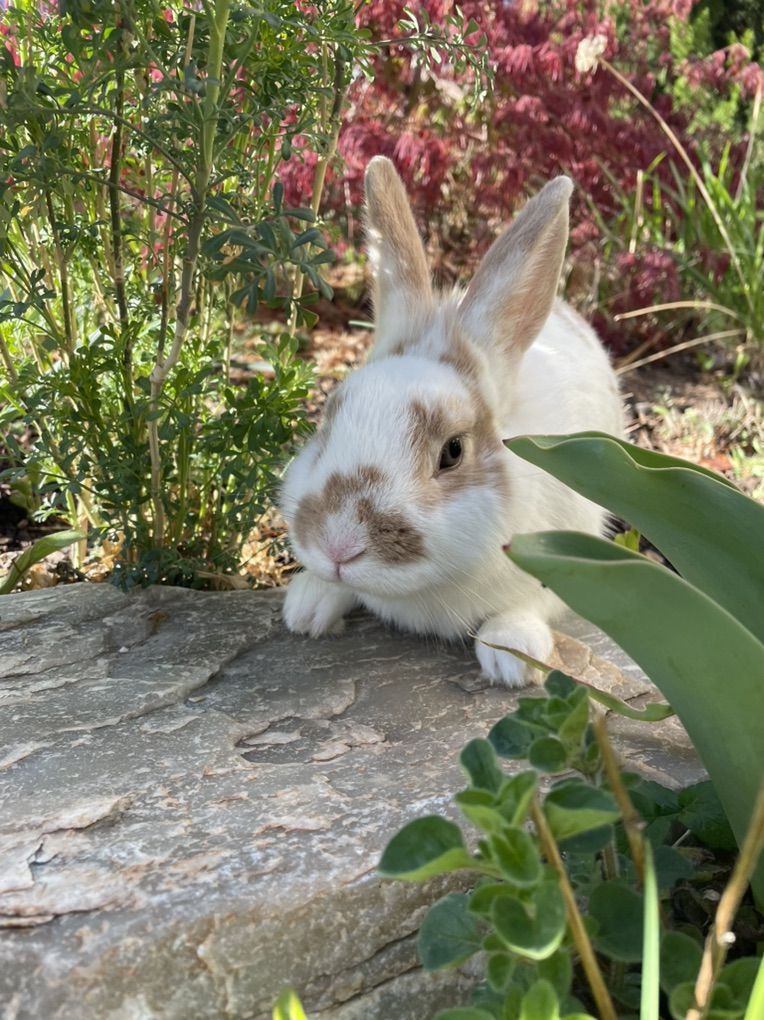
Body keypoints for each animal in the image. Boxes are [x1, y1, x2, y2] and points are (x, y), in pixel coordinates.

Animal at [279, 156, 624, 687]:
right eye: (326, 422)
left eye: (453, 452)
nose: (338, 547)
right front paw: (308, 606)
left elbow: (533, 601)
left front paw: (513, 655)